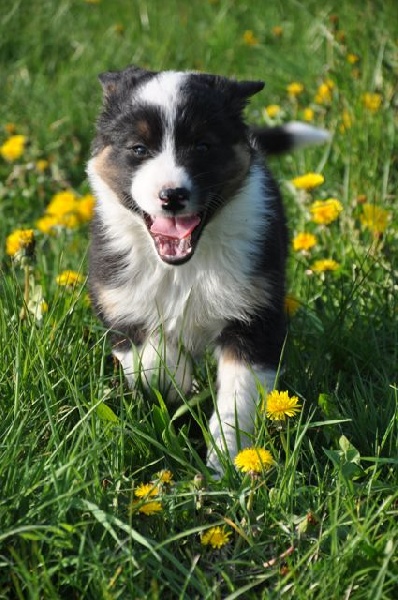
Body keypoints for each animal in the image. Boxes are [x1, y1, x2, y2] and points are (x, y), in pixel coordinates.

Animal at [86, 65, 326, 476]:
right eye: (138, 149)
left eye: (202, 147)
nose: (172, 196)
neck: (182, 267)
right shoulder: (121, 303)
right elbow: (153, 364)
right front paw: (179, 389)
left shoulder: (254, 316)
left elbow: (238, 399)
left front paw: (226, 463)